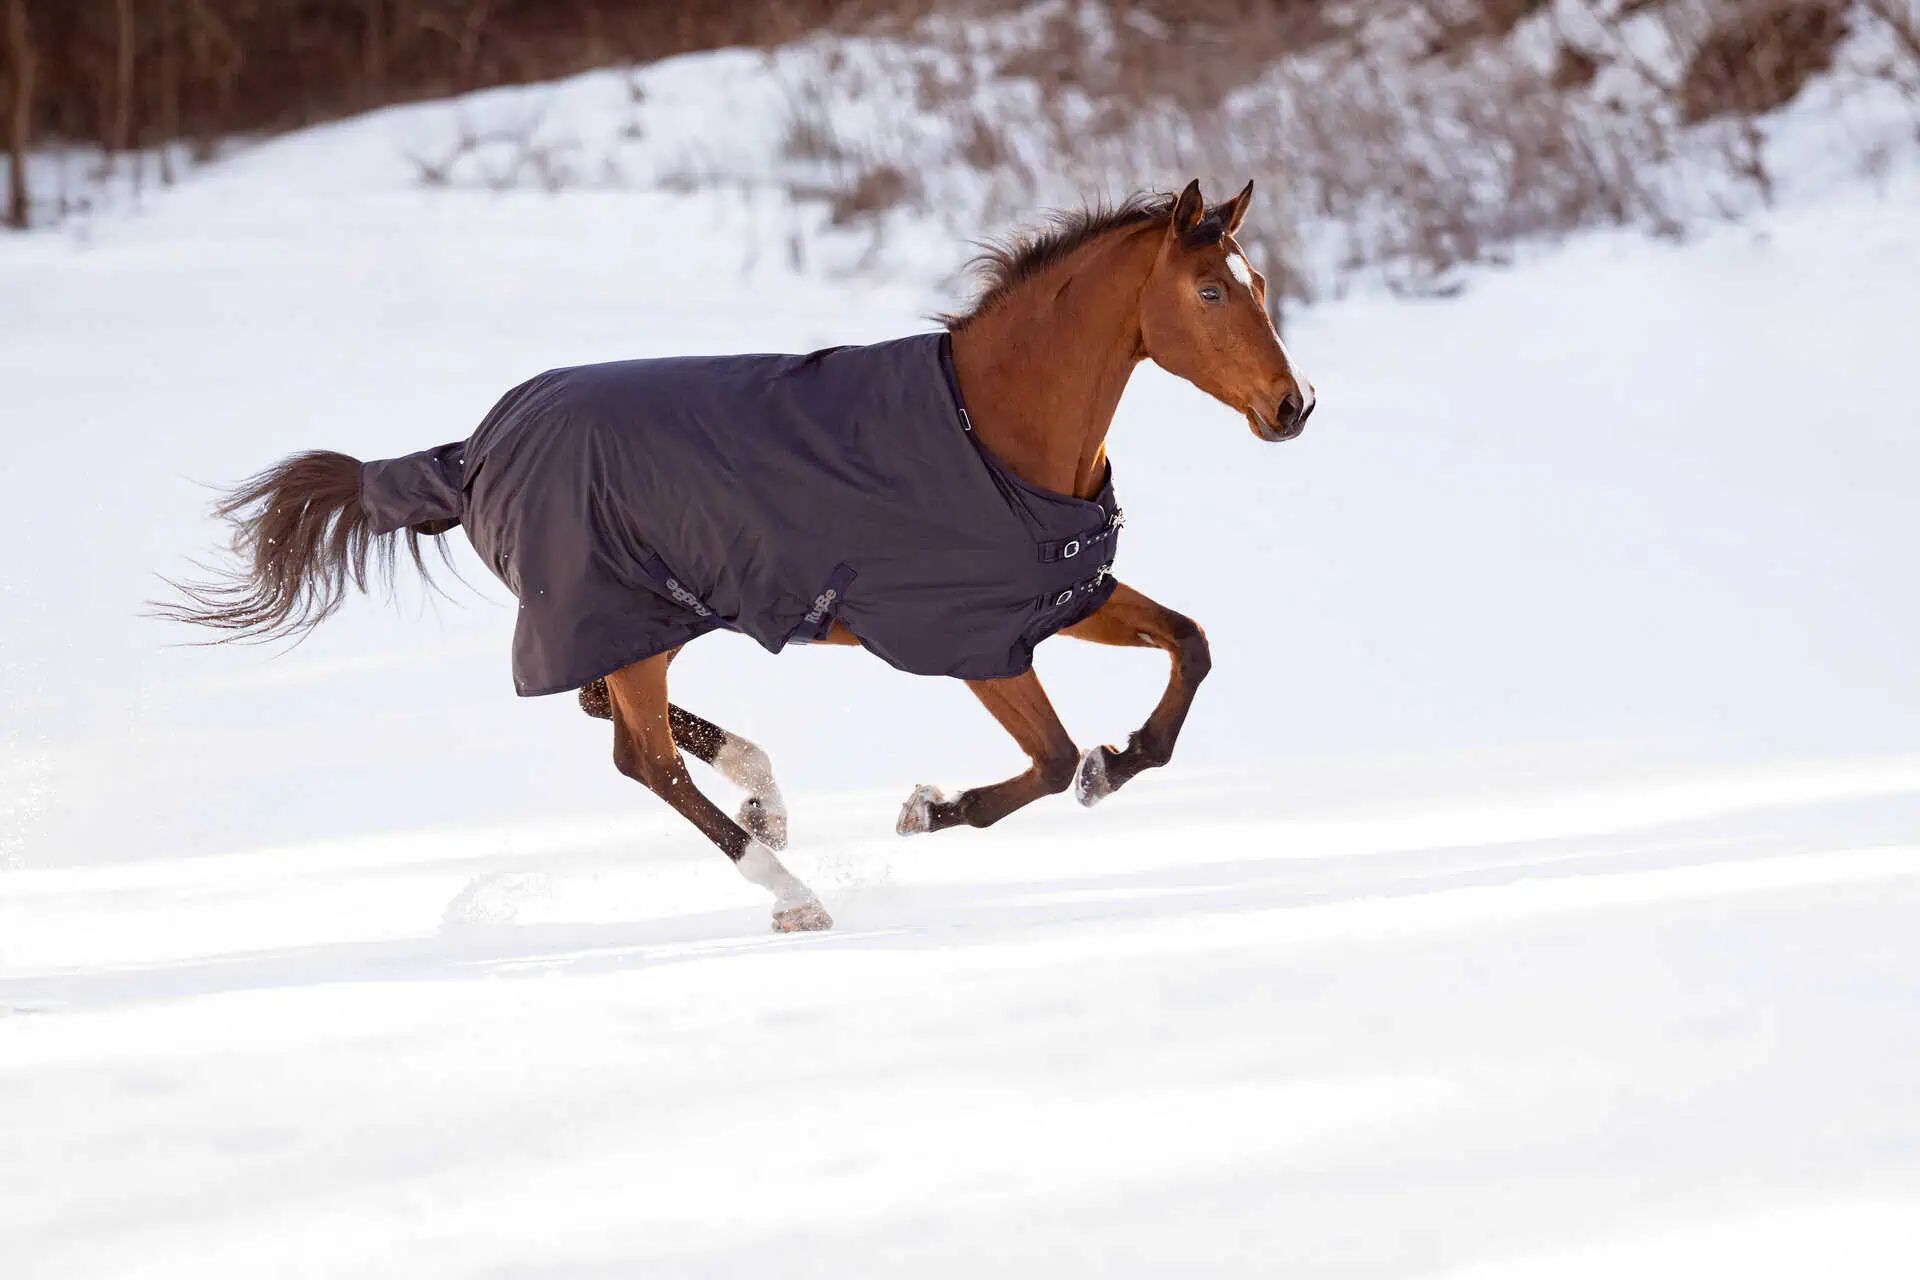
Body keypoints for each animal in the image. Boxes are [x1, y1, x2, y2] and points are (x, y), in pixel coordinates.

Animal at [154, 178, 1316, 934]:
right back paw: (791, 889)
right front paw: (934, 809)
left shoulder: (1061, 590)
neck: (992, 428)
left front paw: (1119, 760)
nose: (1292, 407)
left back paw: (768, 799)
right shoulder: (971, 637)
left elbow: (1190, 647)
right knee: (642, 759)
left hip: (646, 617)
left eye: (1259, 281)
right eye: (1213, 292)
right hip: (615, 616)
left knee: (613, 718)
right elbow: (1045, 758)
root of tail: (477, 450)